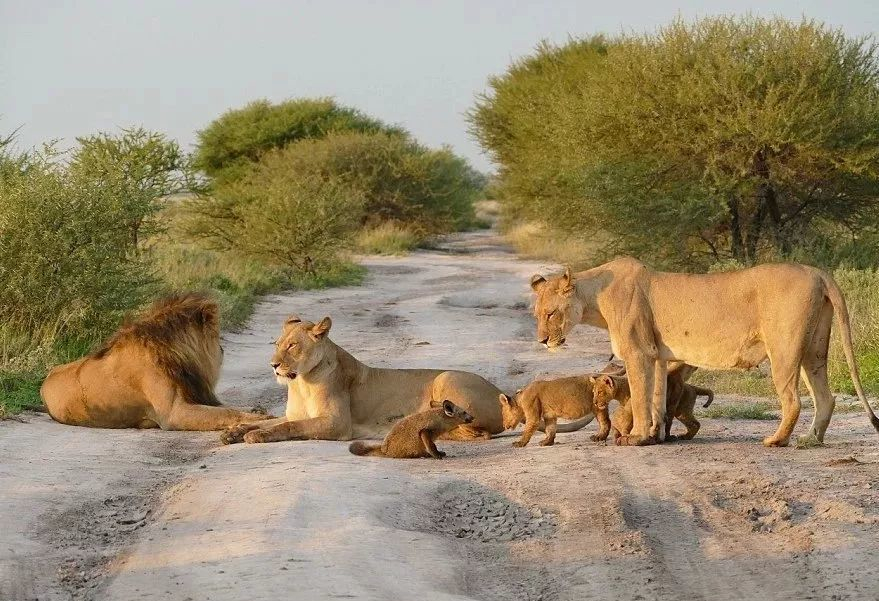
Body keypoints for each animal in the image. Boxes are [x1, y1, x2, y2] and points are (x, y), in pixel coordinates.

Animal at [39, 292, 272, 428]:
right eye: (215, 336)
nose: (222, 350)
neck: (175, 354)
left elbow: (228, 408)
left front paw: (256, 410)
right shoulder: (173, 413)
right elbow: (227, 413)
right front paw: (259, 419)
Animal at [528, 258, 879, 446]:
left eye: (550, 313)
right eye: (537, 314)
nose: (543, 341)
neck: (594, 298)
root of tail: (817, 271)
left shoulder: (638, 352)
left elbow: (640, 397)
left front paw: (637, 438)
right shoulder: (657, 355)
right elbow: (656, 398)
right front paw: (655, 436)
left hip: (784, 347)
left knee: (793, 399)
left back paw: (777, 440)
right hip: (814, 349)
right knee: (825, 397)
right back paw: (811, 440)